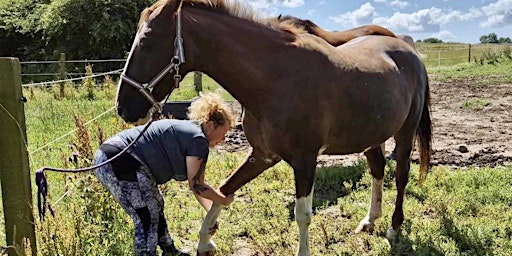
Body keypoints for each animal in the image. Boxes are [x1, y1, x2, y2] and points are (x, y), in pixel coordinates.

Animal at [116, 1, 432, 255]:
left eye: (147, 41)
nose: (123, 107)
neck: (274, 78)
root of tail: (408, 50)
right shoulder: (263, 155)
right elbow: (225, 190)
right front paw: (205, 241)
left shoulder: (305, 160)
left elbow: (302, 214)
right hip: (371, 135)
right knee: (378, 170)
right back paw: (369, 221)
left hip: (405, 132)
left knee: (401, 175)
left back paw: (394, 227)